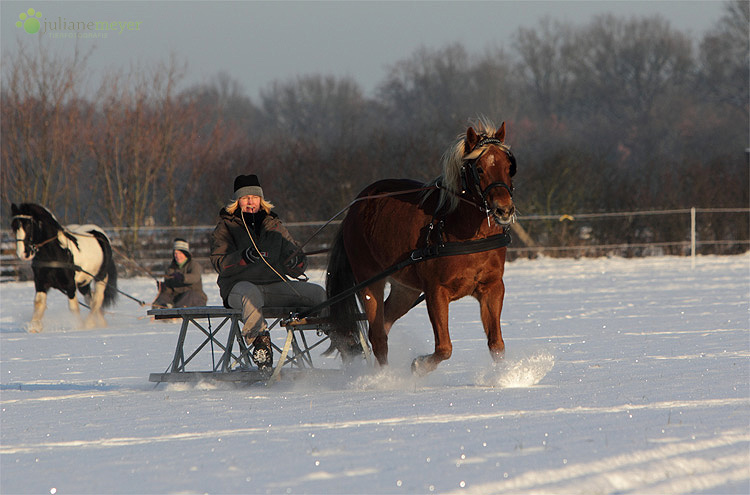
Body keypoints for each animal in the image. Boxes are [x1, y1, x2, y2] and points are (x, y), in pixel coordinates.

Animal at [10, 202, 119, 334]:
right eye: (13, 226)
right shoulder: (41, 283)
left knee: (97, 300)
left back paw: (90, 323)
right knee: (91, 299)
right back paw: (101, 324)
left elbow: (73, 307)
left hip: (101, 277)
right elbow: (39, 304)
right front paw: (34, 328)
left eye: (28, 225)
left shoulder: (70, 285)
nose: (23, 254)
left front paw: (79, 326)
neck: (56, 253)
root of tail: (100, 234)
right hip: (83, 283)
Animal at [326, 120, 520, 376]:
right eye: (478, 169)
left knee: (384, 324)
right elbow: (444, 348)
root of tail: (354, 209)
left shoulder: (492, 288)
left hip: (404, 290)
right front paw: (419, 365)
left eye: (509, 167)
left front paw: (506, 377)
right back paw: (384, 378)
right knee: (377, 336)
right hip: (369, 281)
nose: (504, 210)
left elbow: (496, 344)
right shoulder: (436, 291)